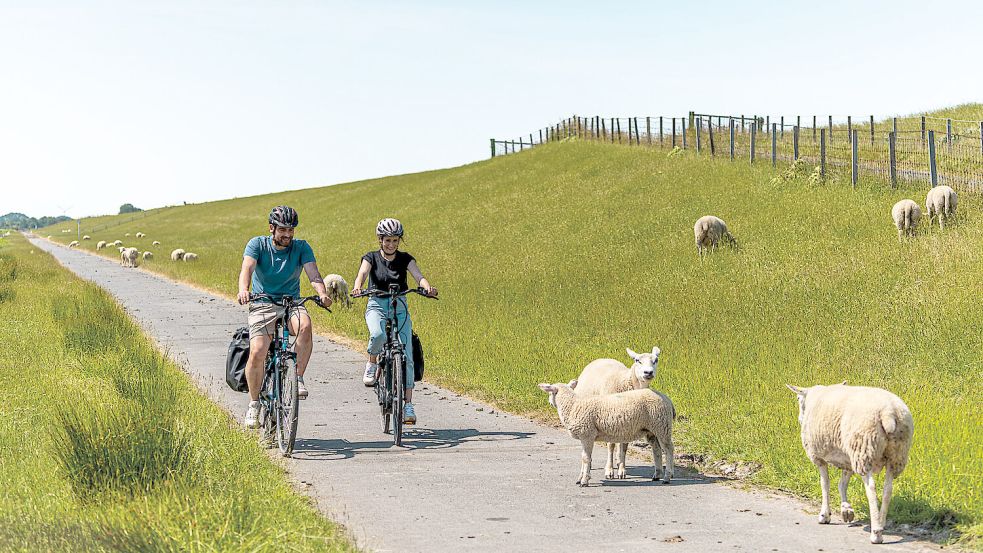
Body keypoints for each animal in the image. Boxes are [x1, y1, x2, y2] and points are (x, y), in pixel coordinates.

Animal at [540, 380, 676, 488]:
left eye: (550, 392)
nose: (549, 402)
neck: (572, 405)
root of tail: (668, 400)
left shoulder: (587, 434)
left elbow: (586, 459)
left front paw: (584, 481)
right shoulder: (585, 436)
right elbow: (584, 458)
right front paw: (580, 478)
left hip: (662, 426)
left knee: (668, 449)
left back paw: (667, 477)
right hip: (651, 430)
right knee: (656, 449)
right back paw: (657, 475)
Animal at [572, 344, 664, 478]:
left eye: (656, 360)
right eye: (637, 360)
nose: (648, 372)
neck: (625, 382)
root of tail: (602, 358)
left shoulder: (630, 421)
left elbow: (624, 446)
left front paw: (622, 470)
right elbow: (611, 445)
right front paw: (609, 471)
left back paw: (618, 460)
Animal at [788, 384, 920, 544]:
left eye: (797, 398)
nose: (800, 419)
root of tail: (889, 413)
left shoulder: (819, 456)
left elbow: (825, 484)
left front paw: (824, 515)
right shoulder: (848, 459)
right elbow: (842, 484)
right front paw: (846, 510)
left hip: (863, 449)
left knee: (871, 488)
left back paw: (876, 533)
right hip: (896, 455)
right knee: (887, 490)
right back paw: (881, 523)